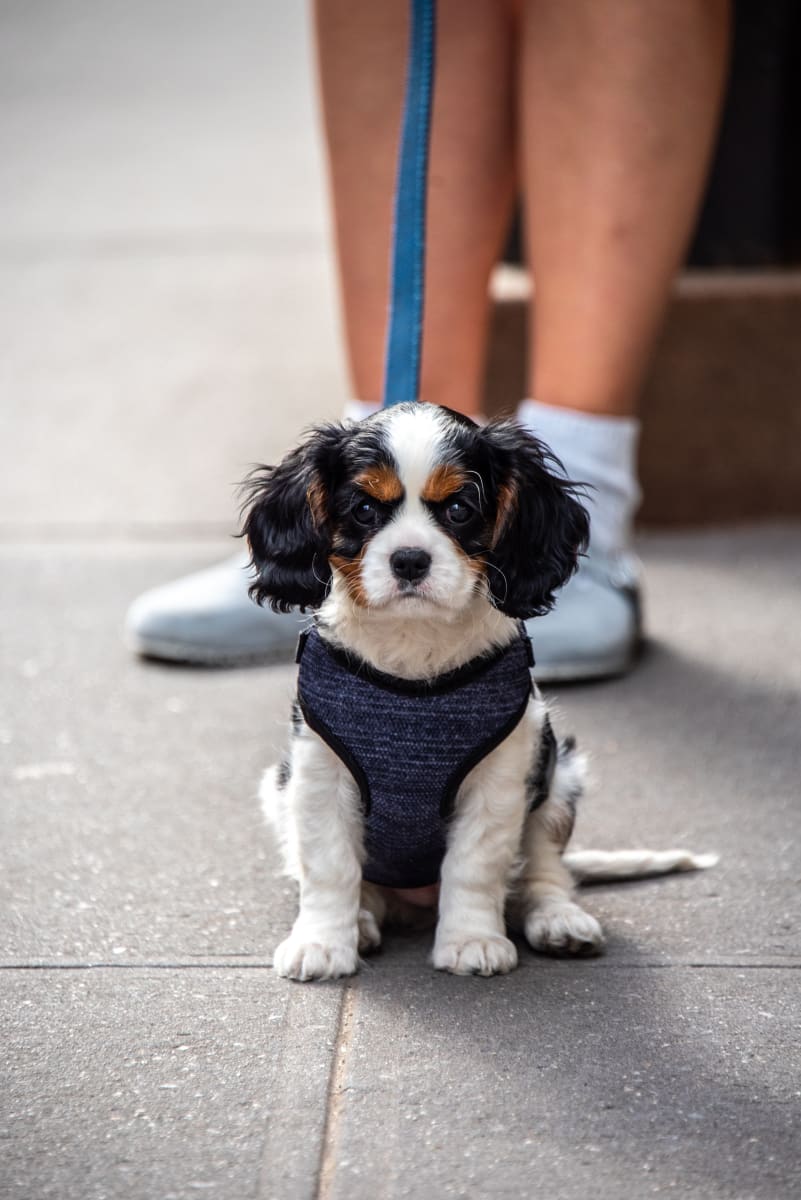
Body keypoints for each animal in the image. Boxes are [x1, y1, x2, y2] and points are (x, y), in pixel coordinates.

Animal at [241, 398, 709, 979]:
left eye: (460, 509)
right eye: (365, 510)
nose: (410, 559)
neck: (414, 652)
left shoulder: (502, 777)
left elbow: (475, 865)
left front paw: (471, 941)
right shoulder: (316, 777)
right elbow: (329, 867)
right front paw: (323, 943)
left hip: (558, 779)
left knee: (543, 872)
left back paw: (558, 920)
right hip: (277, 791)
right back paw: (364, 922)